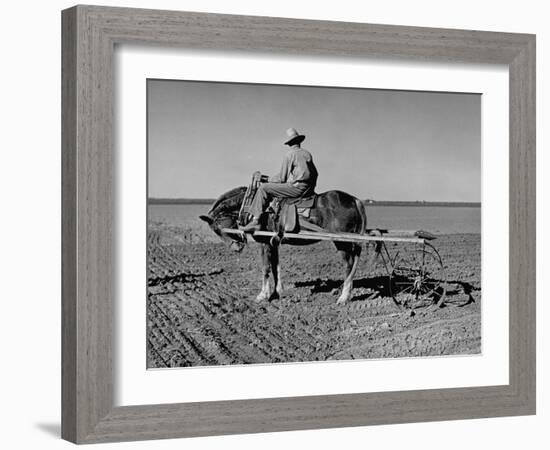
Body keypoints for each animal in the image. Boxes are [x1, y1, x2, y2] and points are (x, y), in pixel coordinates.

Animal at [201, 185, 368, 304]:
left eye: (217, 229)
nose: (236, 248)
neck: (254, 207)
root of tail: (354, 200)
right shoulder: (273, 243)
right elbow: (275, 267)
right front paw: (276, 292)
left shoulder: (264, 243)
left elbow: (266, 268)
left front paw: (263, 295)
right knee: (353, 263)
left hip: (341, 242)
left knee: (349, 265)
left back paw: (343, 297)